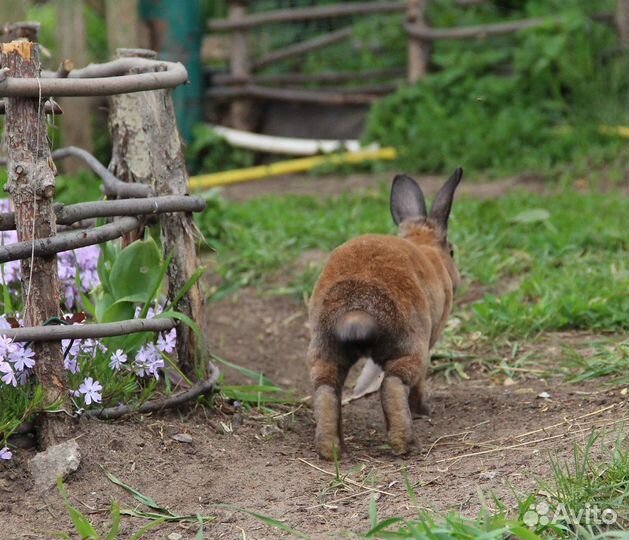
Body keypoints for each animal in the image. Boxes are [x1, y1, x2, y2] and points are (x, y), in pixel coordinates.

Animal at [308, 169, 462, 460]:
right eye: (453, 251)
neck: (425, 248)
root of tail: (356, 310)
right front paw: (424, 410)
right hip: (409, 347)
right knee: (392, 385)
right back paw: (407, 444)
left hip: (326, 351)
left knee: (326, 391)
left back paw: (332, 450)